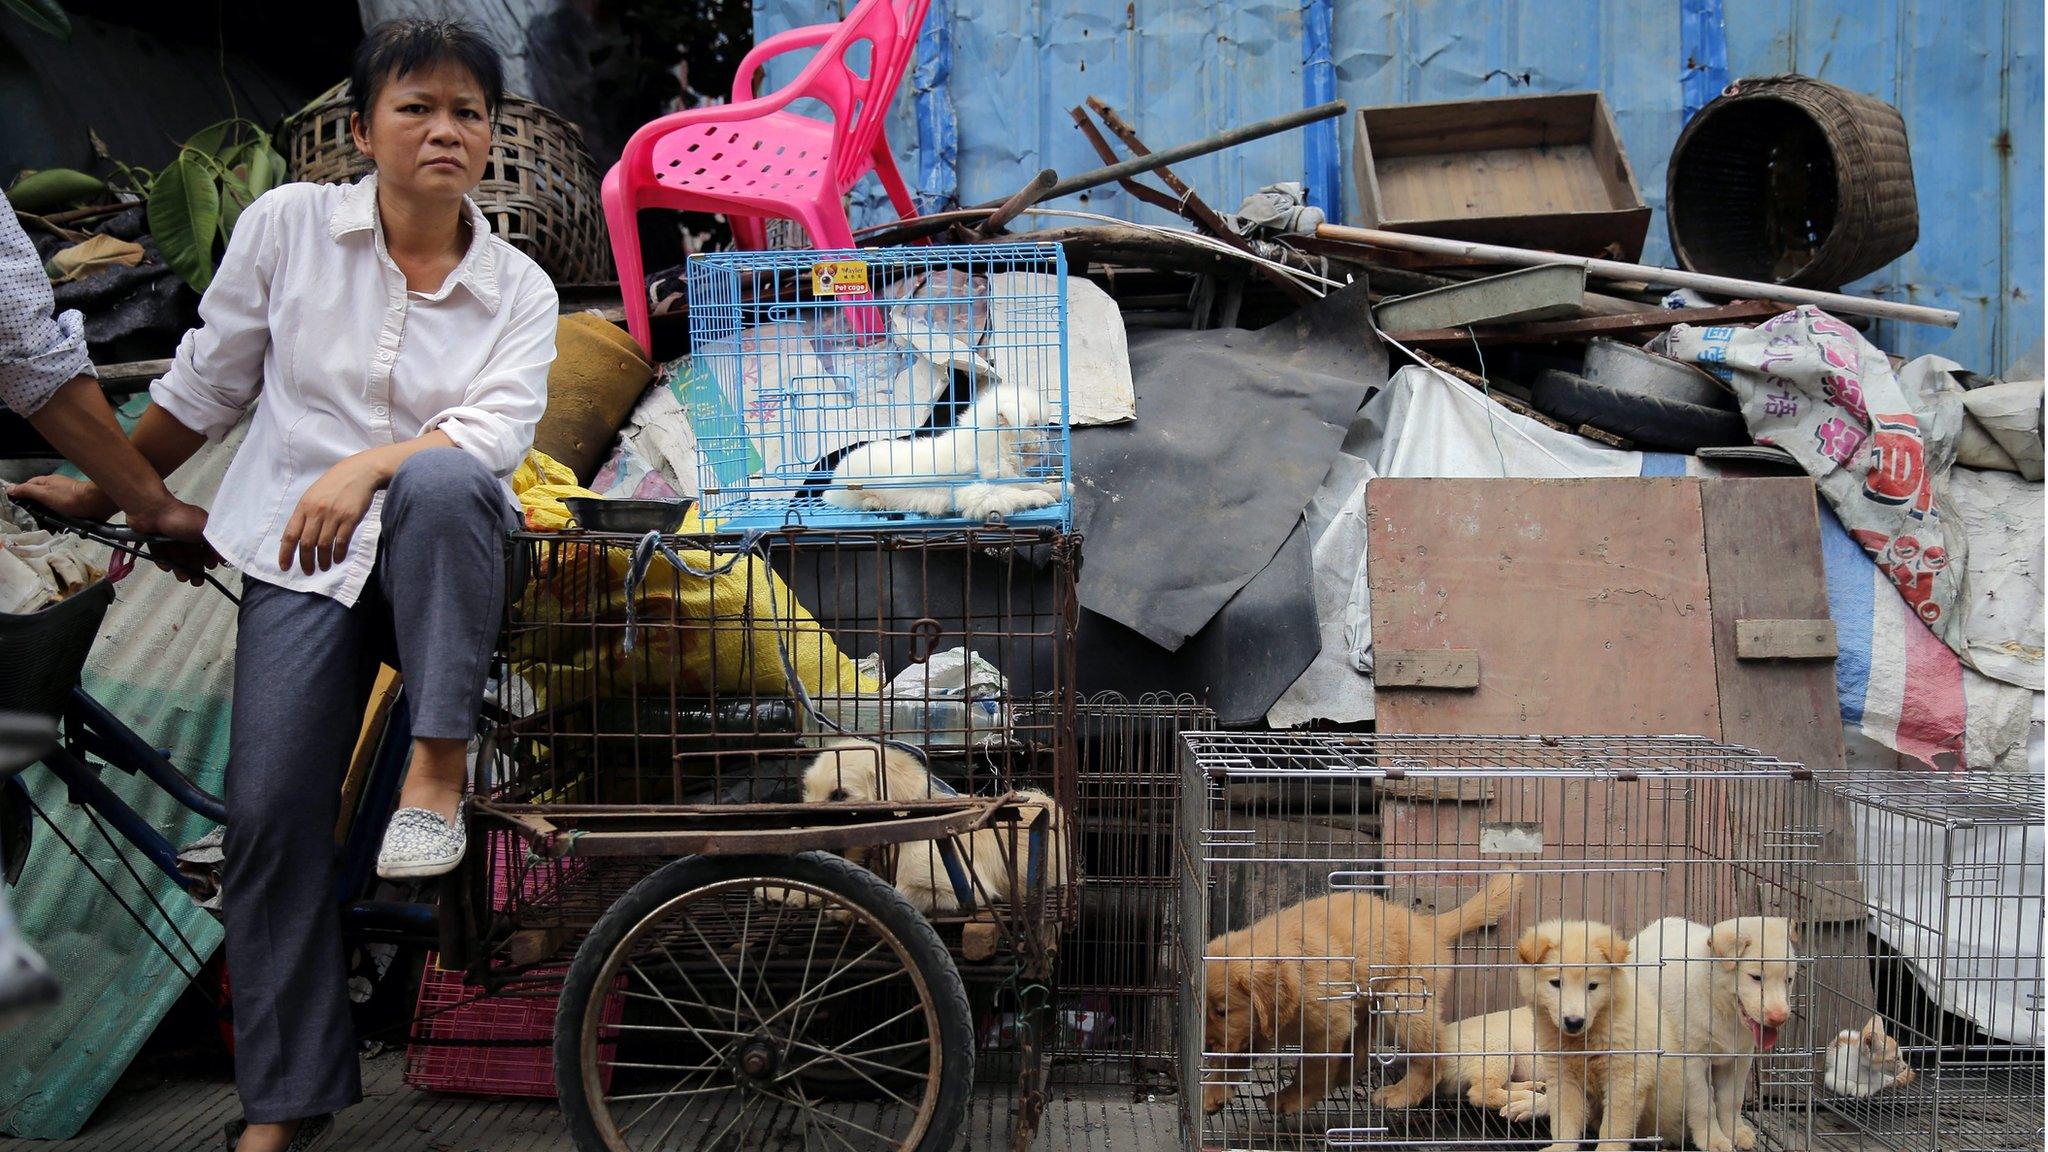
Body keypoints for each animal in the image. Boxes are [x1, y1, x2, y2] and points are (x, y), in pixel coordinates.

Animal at [823, 379, 1064, 518]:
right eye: (1035, 425)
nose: (1048, 438)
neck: (988, 445)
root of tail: (835, 474)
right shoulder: (978, 494)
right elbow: (1013, 494)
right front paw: (1040, 497)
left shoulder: (1008, 477)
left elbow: (1028, 483)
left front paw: (1059, 488)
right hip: (853, 492)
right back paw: (873, 503)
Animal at [1196, 865, 1523, 1115]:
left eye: (1222, 1011)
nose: (1206, 1049)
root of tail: (1426, 925)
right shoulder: (1252, 1028)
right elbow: (1232, 1059)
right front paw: (1212, 1092)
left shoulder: (1327, 1027)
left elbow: (1312, 1072)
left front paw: (1292, 1098)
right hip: (1370, 1000)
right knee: (1363, 1045)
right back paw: (1348, 1072)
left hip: (1402, 1000)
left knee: (1432, 1057)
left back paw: (1400, 1094)